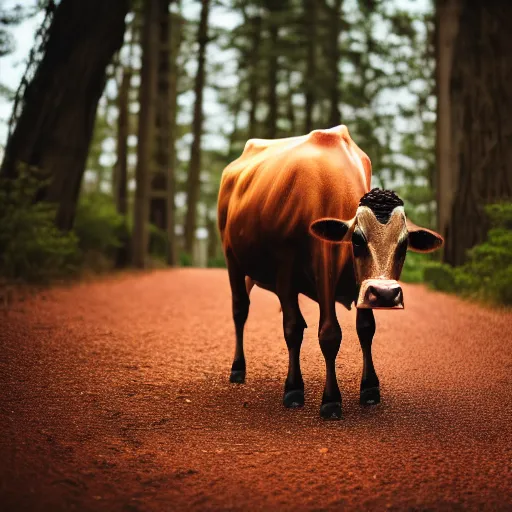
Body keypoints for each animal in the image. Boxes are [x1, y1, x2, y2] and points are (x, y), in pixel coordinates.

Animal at [217, 125, 444, 420]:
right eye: (357, 239)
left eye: (404, 243)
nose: (385, 294)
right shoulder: (293, 272)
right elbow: (315, 331)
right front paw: (315, 395)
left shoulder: (359, 284)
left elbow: (365, 329)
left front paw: (370, 387)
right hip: (232, 259)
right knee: (240, 310)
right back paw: (238, 368)